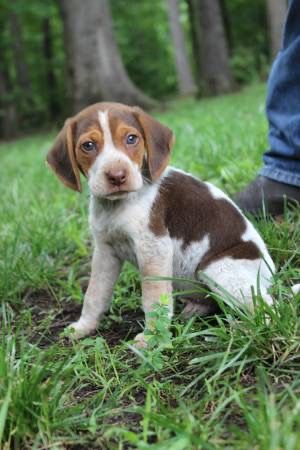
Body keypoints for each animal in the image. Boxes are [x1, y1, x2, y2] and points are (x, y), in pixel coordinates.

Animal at [47, 103, 276, 346]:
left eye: (131, 138)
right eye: (88, 146)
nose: (117, 176)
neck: (117, 206)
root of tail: (272, 272)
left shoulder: (153, 247)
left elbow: (153, 297)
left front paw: (151, 338)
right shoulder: (105, 251)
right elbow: (94, 294)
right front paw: (84, 327)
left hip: (216, 268)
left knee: (267, 306)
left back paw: (247, 330)